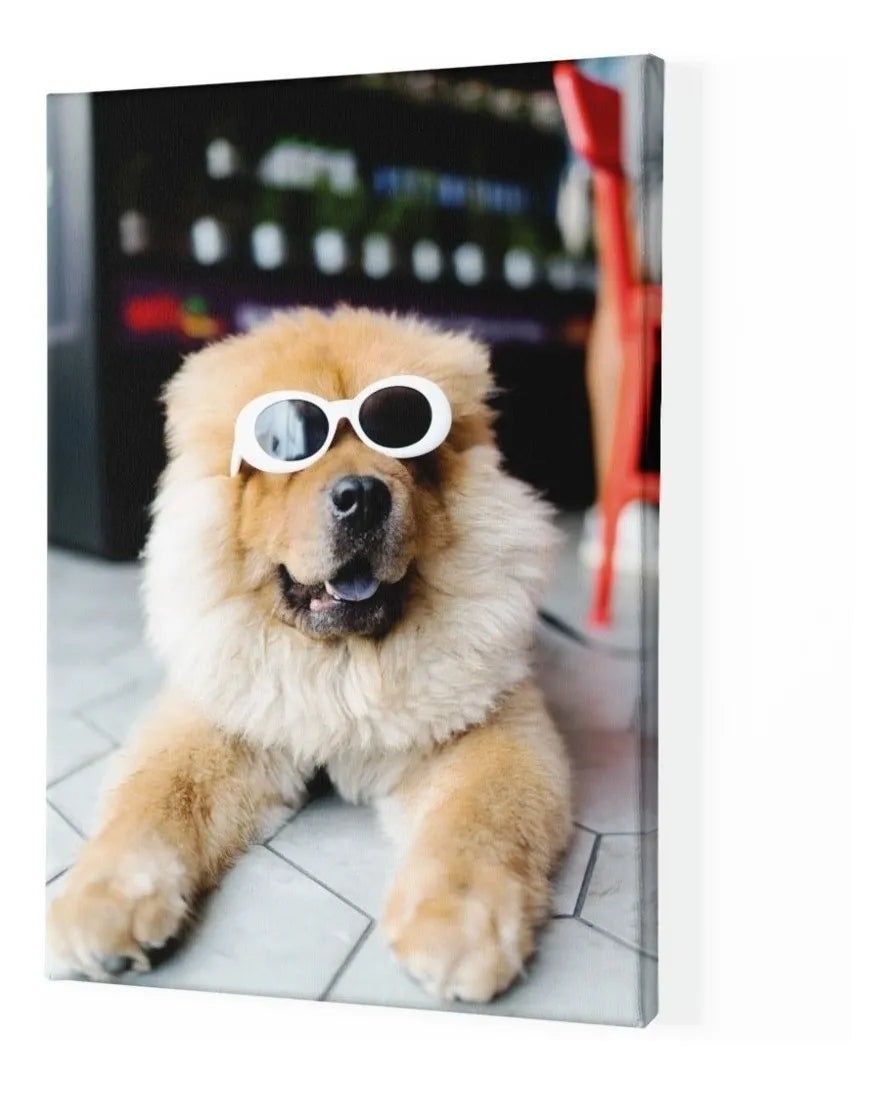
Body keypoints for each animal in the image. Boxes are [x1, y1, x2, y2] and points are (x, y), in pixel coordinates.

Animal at [48, 307, 573, 1003]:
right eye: (287, 444)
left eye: (403, 431)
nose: (363, 494)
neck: (340, 662)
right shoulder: (218, 721)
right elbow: (153, 799)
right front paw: (102, 903)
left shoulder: (493, 730)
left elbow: (481, 818)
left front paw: (458, 924)